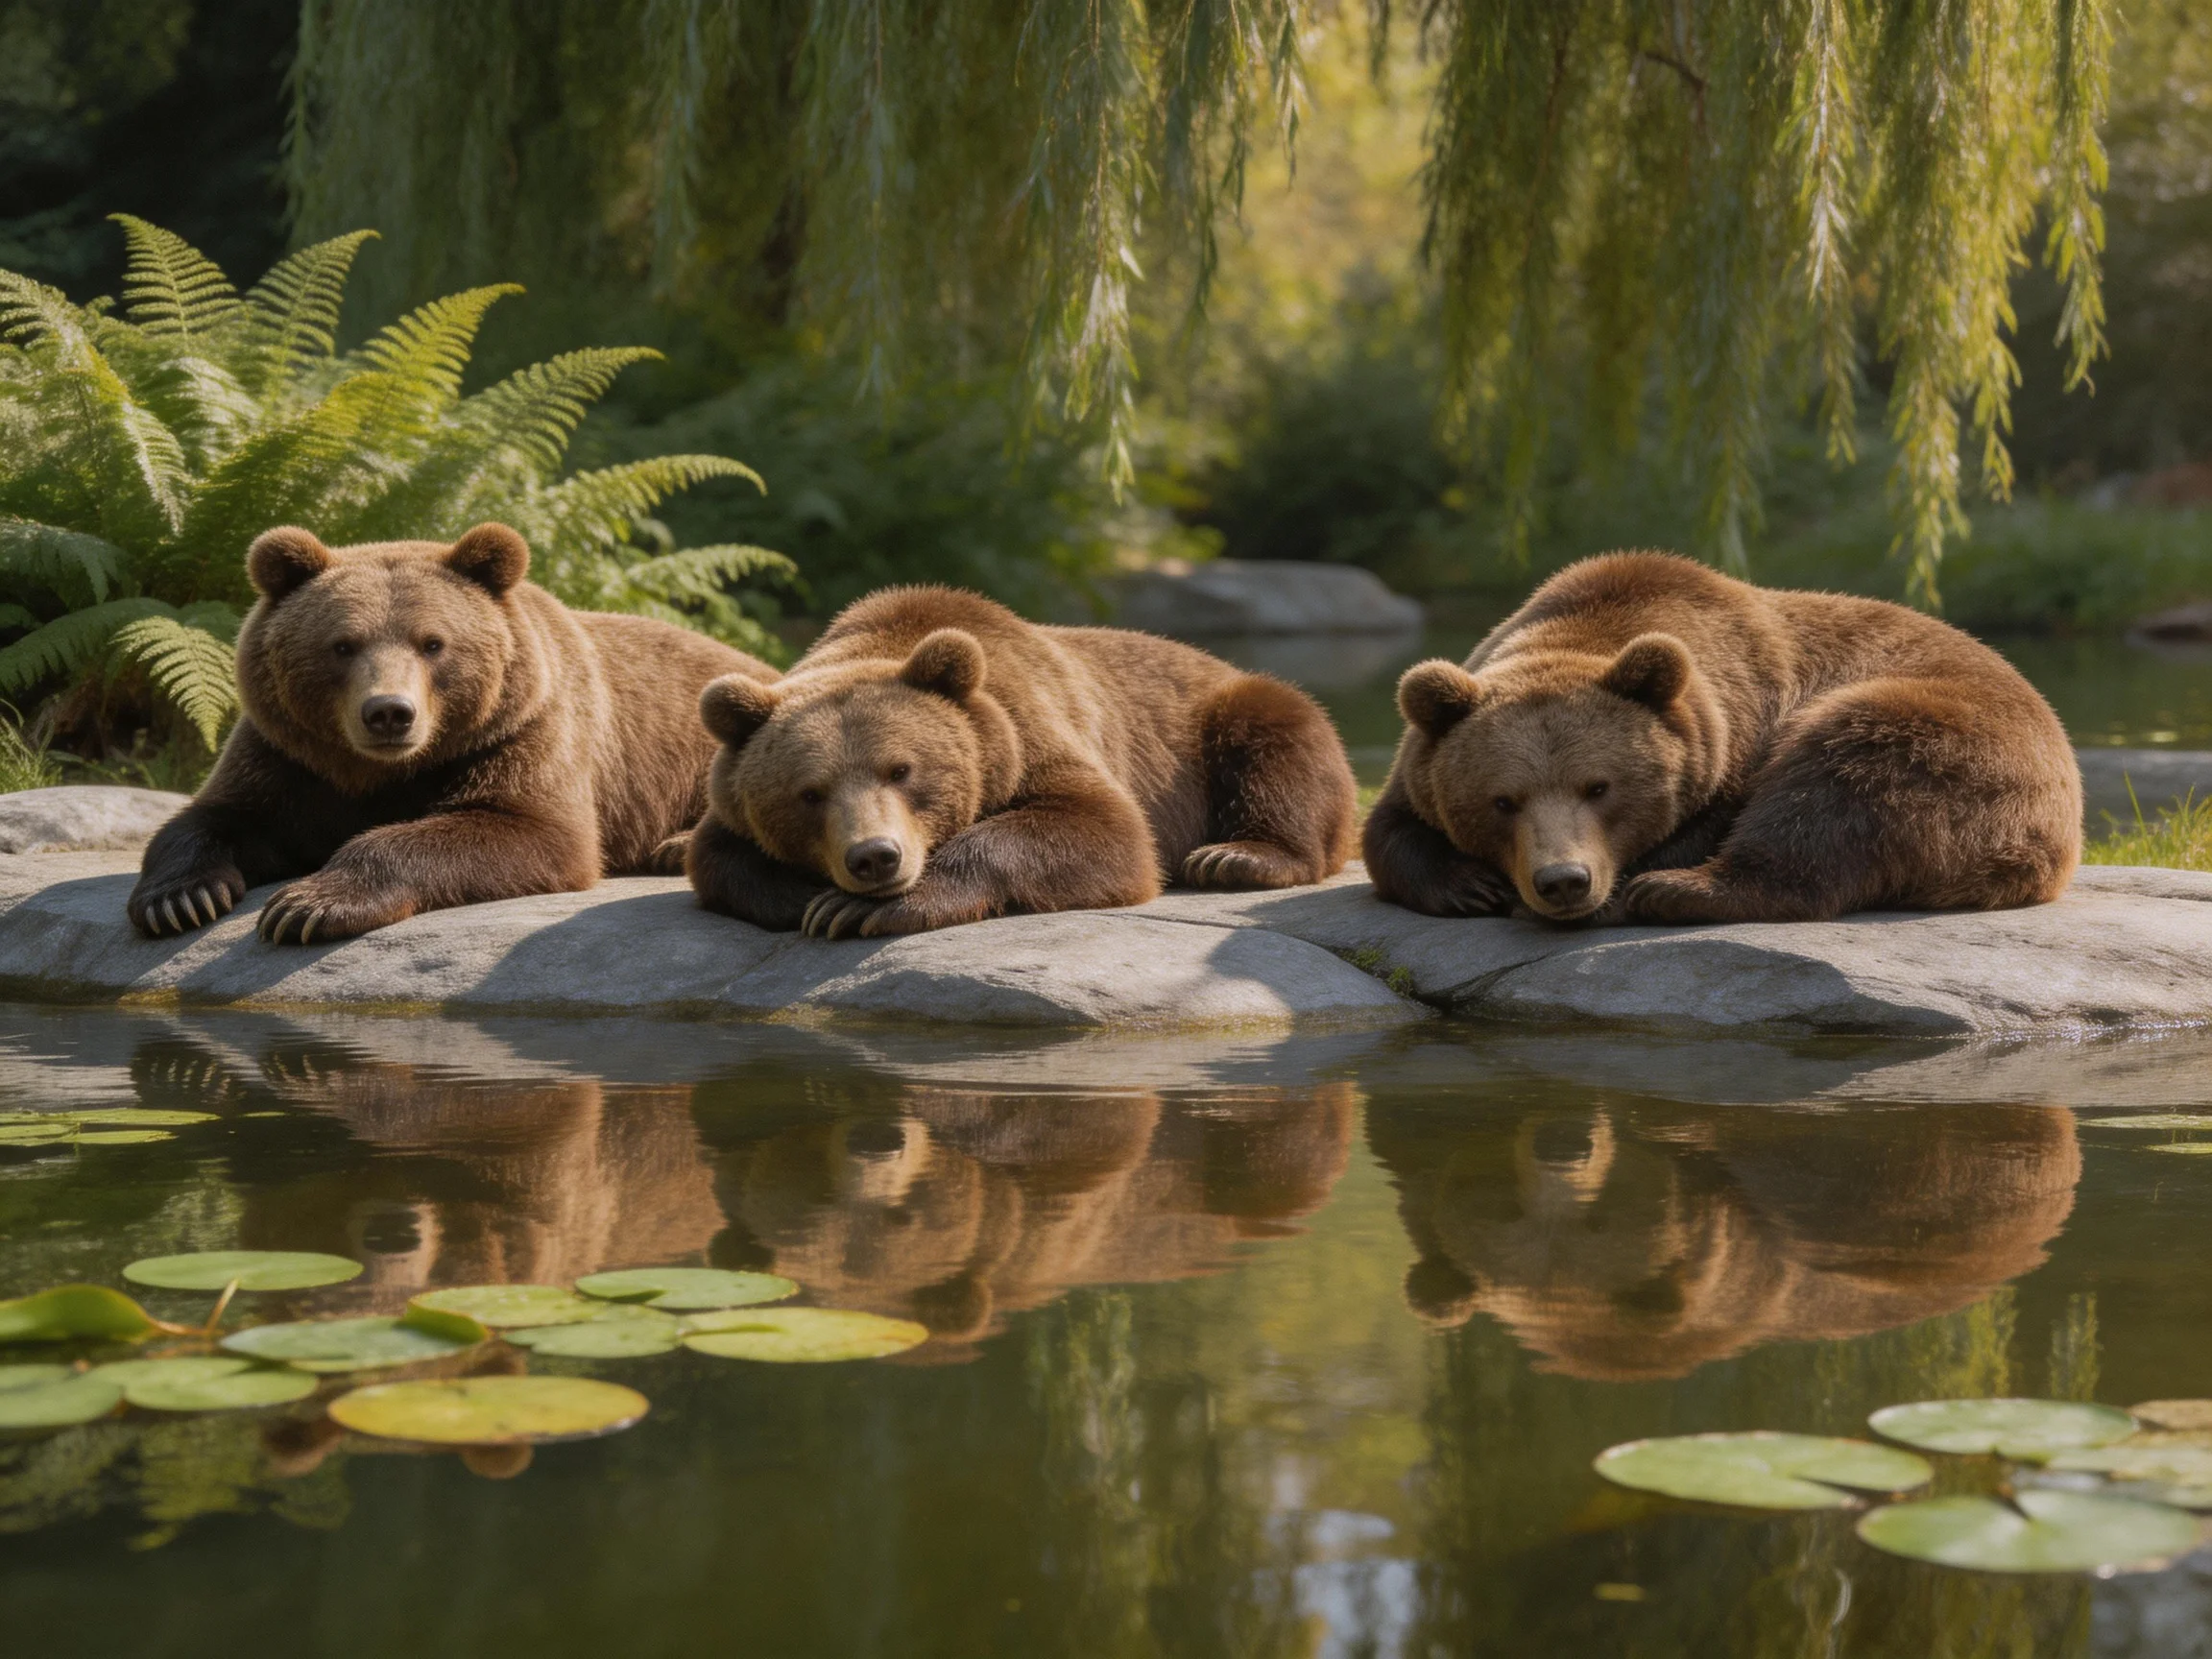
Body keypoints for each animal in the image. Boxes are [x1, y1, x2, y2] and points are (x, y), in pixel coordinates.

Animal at [128, 521, 775, 943]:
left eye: (433, 643)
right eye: (342, 645)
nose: (389, 712)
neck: (383, 771)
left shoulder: (521, 732)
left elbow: (530, 828)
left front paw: (308, 904)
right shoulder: (289, 755)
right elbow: (216, 816)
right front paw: (180, 900)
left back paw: (673, 847)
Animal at [684, 585, 1356, 937]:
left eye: (901, 770)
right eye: (810, 793)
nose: (875, 857)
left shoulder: (1029, 731)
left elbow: (1104, 830)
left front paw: (860, 909)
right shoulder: (730, 803)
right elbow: (714, 854)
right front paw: (812, 898)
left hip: (1214, 723)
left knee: (1277, 732)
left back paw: (1234, 856)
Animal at [1363, 551, 2081, 925]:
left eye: (1598, 787)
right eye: (1502, 800)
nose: (1563, 881)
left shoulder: (1737, 733)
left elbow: (1720, 817)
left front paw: (1630, 885)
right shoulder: (1423, 755)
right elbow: (1389, 827)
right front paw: (1468, 884)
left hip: (1951, 742)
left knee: (1839, 782)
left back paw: (1678, 891)